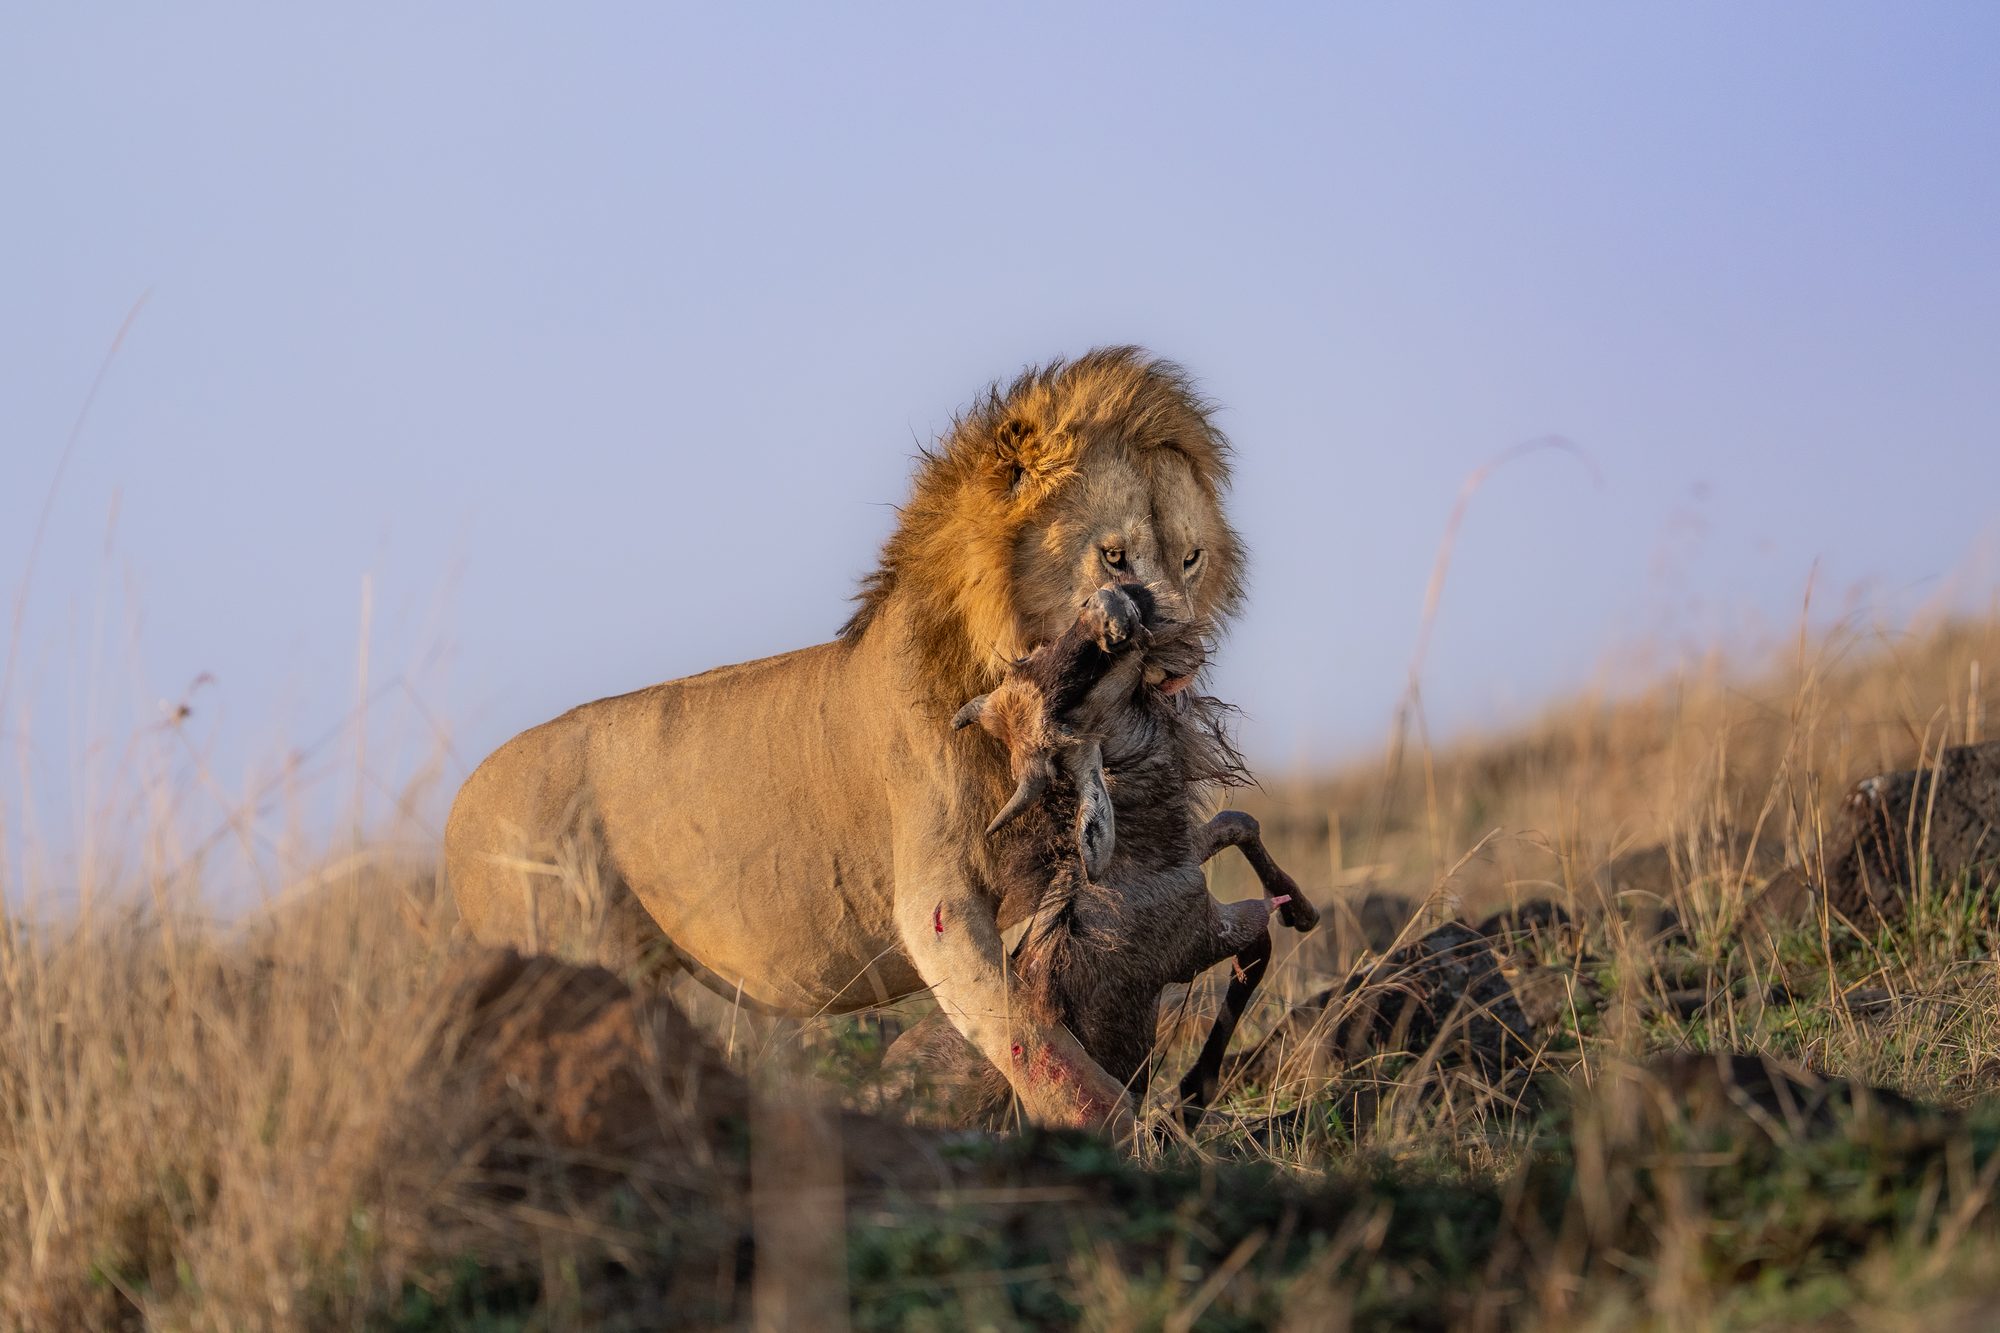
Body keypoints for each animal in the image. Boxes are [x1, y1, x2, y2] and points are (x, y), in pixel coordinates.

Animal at [445, 347, 1247, 1132]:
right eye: (1113, 557)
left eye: (1191, 558)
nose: (1182, 658)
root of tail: (457, 811)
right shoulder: (937, 901)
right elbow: (1028, 1035)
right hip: (565, 944)